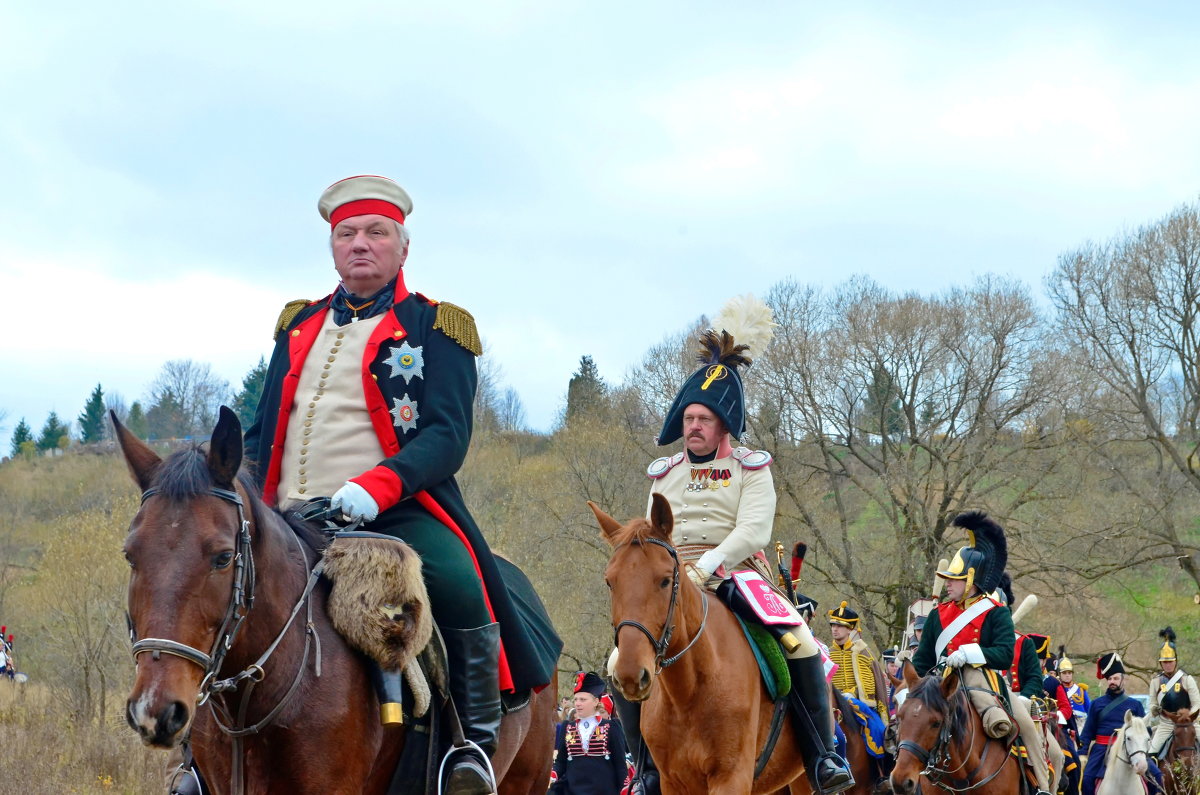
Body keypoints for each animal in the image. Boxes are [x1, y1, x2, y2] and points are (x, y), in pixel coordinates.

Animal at [588, 499, 811, 795]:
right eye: (610, 581)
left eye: (665, 580)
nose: (630, 675)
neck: (687, 692)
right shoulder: (672, 783)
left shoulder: (731, 777)